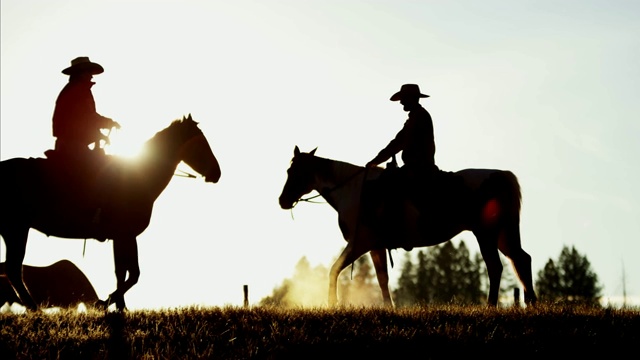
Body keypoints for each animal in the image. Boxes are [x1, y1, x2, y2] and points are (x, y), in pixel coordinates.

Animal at [0, 114, 221, 310]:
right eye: (200, 142)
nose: (216, 173)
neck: (139, 176)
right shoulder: (126, 235)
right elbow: (133, 274)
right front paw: (106, 303)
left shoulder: (123, 237)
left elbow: (121, 272)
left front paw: (120, 306)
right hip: (16, 229)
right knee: (14, 268)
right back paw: (34, 308)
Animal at [280, 146, 536, 306]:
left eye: (294, 171)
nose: (282, 200)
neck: (355, 192)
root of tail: (500, 176)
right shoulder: (375, 246)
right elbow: (382, 278)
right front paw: (389, 307)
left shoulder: (359, 244)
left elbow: (334, 270)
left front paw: (332, 302)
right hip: (503, 235)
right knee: (521, 259)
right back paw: (531, 301)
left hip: (486, 235)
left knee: (495, 267)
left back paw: (491, 305)